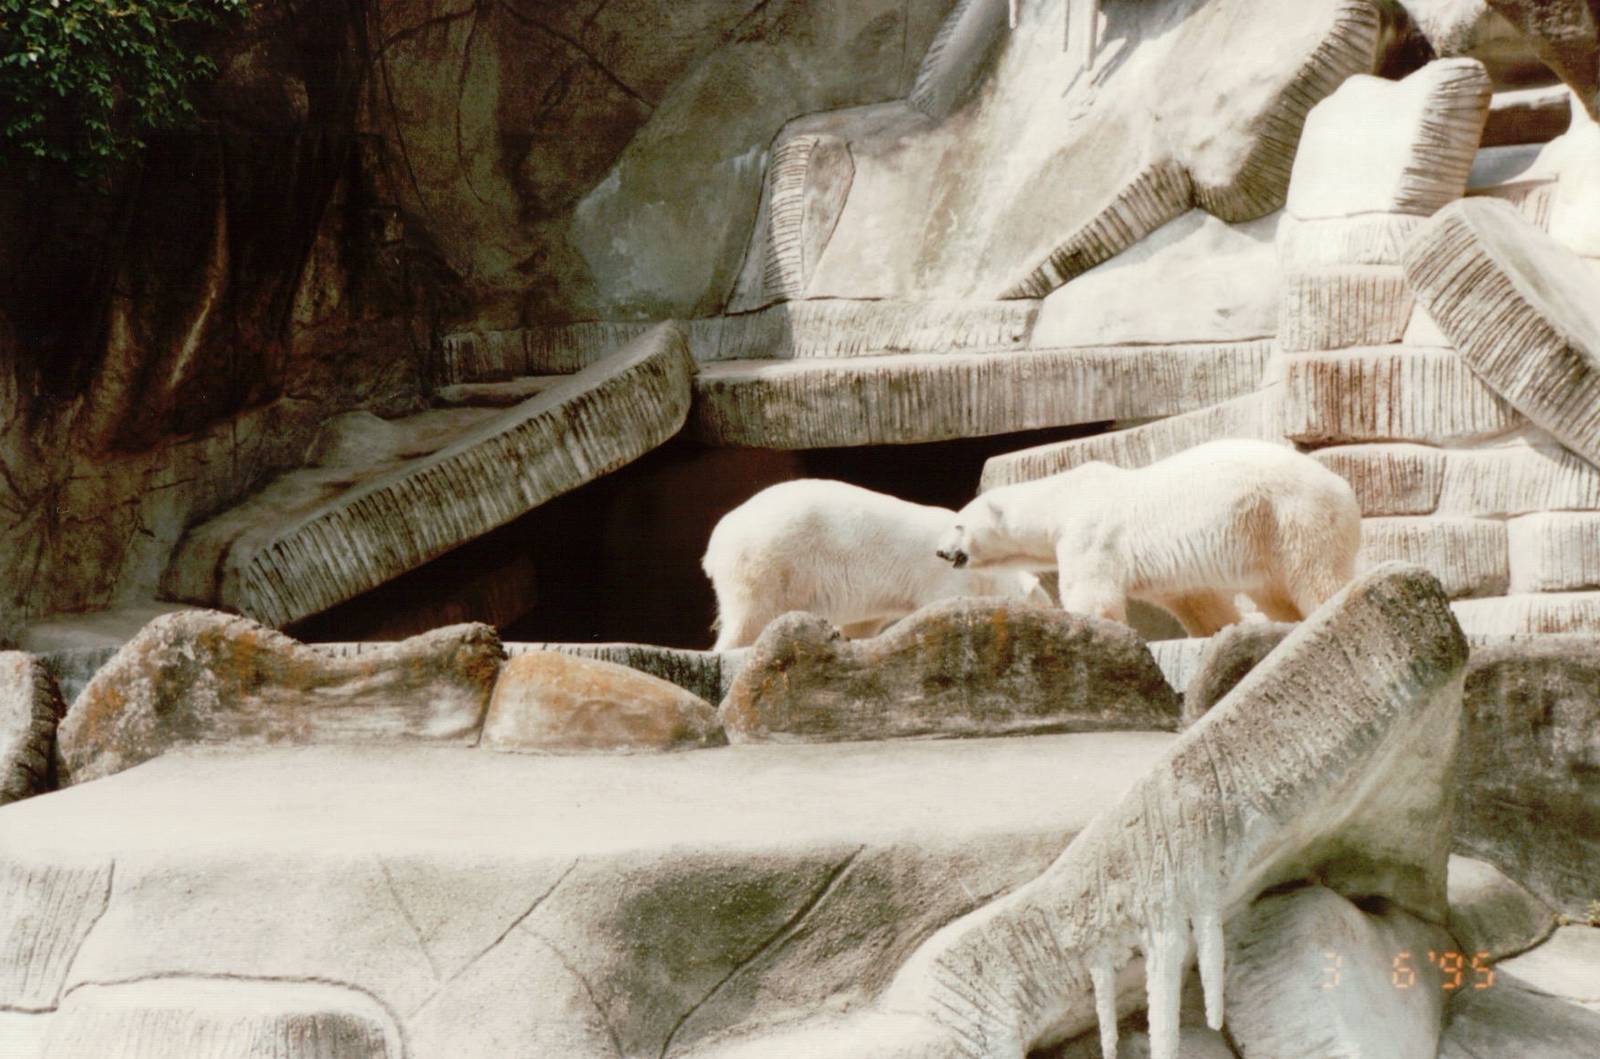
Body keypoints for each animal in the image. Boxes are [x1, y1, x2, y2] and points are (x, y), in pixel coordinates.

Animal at [702, 479, 1050, 651]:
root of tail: (718, 539)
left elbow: (862, 623)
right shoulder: (941, 577)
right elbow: (941, 603)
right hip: (767, 557)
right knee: (750, 615)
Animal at [935, 439, 1361, 637]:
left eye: (957, 524)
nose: (941, 551)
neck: (1062, 499)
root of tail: (1343, 486)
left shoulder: (1090, 536)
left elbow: (1093, 596)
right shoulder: (1174, 576)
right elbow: (1197, 599)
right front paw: (1217, 630)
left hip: (1292, 515)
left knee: (1315, 574)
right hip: (1266, 540)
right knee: (1275, 591)